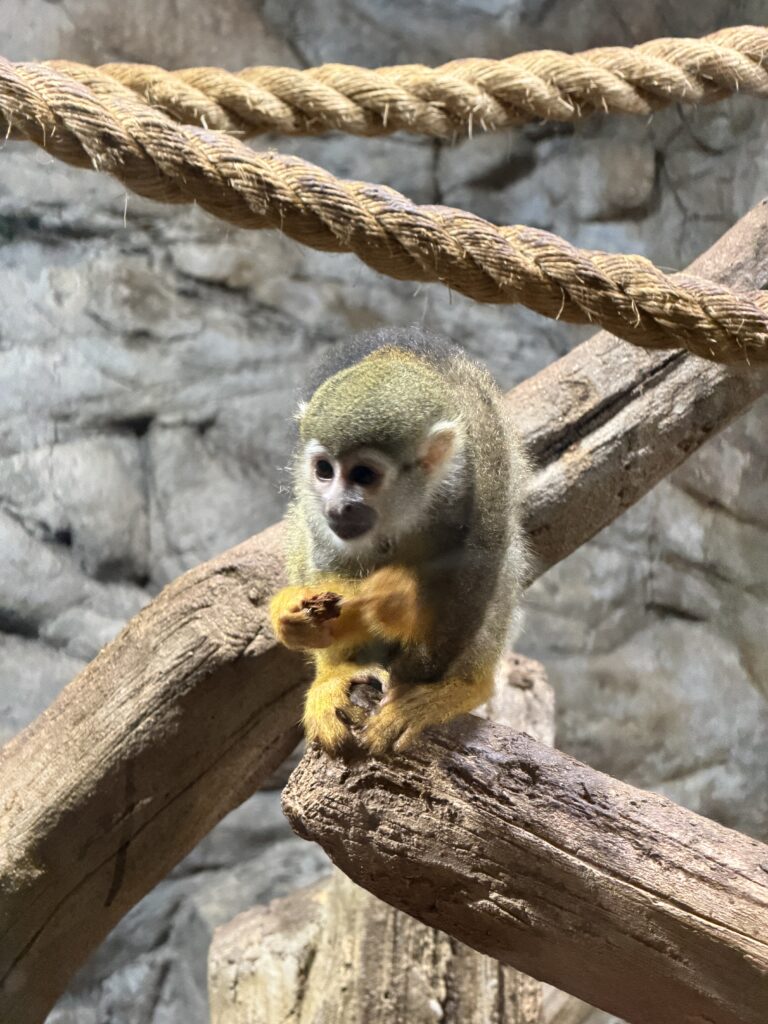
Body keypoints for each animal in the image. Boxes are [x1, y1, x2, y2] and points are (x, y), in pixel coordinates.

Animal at [269, 327, 530, 755]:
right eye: (325, 470)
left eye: (363, 475)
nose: (339, 506)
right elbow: (323, 553)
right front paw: (309, 631)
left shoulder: (481, 468)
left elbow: (479, 569)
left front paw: (398, 610)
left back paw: (464, 685)